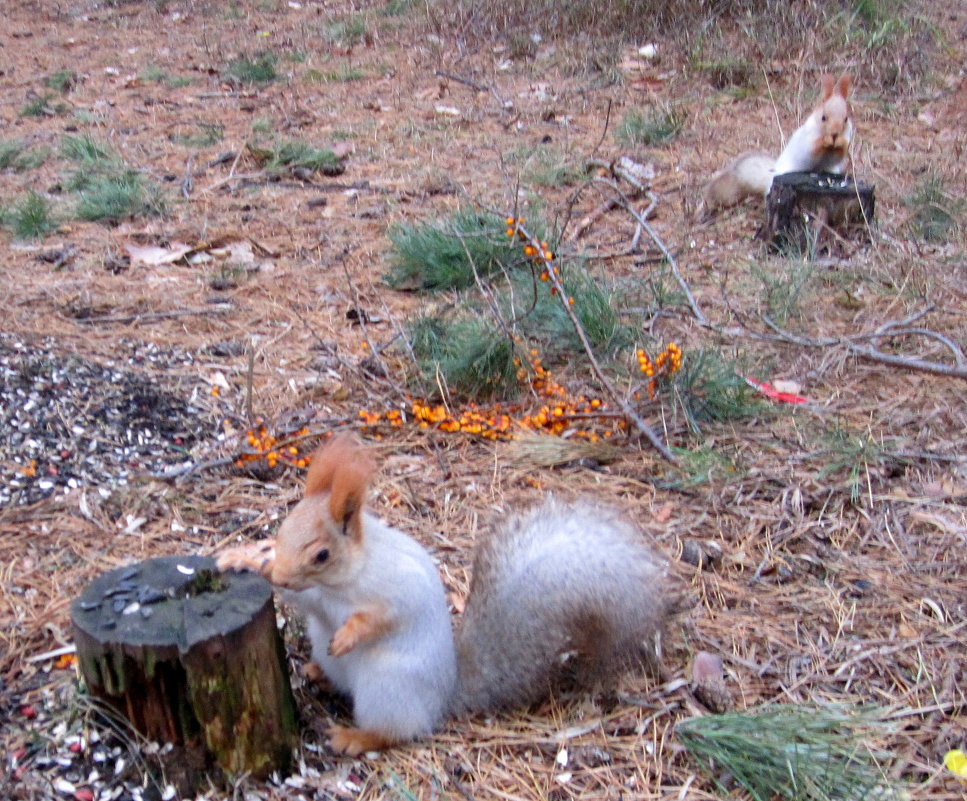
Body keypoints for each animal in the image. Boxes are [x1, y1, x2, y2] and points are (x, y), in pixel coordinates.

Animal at [216, 434, 676, 752]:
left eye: (322, 554)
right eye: (282, 531)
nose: (284, 573)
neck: (344, 579)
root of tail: (445, 694)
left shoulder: (396, 587)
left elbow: (386, 614)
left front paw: (350, 633)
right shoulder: (315, 597)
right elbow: (300, 597)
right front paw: (245, 559)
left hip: (388, 687)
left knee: (398, 731)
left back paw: (356, 737)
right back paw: (319, 674)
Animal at [704, 74, 856, 217]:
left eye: (846, 118)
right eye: (823, 117)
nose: (835, 133)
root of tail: (773, 175)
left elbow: (839, 153)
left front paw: (841, 142)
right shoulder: (805, 141)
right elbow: (812, 149)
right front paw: (824, 141)